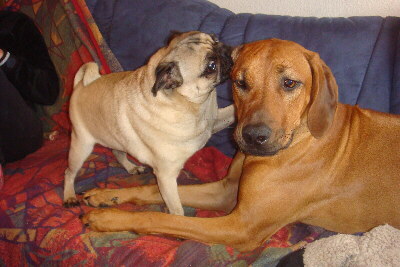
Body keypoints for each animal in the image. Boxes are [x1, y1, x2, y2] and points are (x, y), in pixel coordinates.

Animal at [62, 31, 234, 216]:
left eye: (215, 39)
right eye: (211, 66)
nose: (225, 50)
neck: (194, 107)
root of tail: (79, 86)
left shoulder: (215, 121)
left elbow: (232, 112)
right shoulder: (166, 176)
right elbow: (176, 209)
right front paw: (178, 219)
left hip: (117, 138)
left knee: (117, 152)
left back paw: (131, 167)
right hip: (81, 146)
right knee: (69, 172)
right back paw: (69, 196)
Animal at [82, 38, 400, 252]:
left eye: (290, 83)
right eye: (240, 82)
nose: (253, 137)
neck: (300, 137)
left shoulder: (241, 226)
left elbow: (163, 219)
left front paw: (107, 218)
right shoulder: (226, 191)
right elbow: (153, 188)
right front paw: (107, 196)